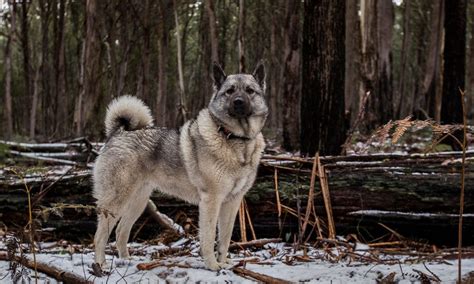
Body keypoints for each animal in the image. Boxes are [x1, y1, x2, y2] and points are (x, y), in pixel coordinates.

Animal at [93, 62, 266, 270]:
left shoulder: (232, 202)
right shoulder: (211, 200)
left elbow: (225, 238)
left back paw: (126, 260)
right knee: (100, 236)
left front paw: (223, 263)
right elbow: (209, 237)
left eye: (250, 91)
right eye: (229, 91)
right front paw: (212, 265)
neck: (235, 140)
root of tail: (117, 133)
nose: (239, 102)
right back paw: (100, 265)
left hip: (138, 201)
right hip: (116, 201)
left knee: (120, 231)